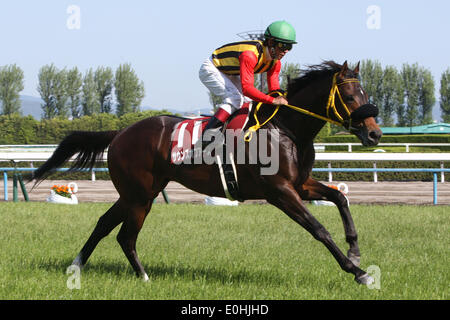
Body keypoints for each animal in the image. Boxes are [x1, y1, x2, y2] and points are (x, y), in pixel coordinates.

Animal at [31, 60, 382, 284]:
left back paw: (77, 266)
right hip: (141, 196)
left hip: (136, 193)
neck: (286, 129)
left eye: (366, 95)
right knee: (125, 236)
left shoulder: (301, 184)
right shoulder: (279, 191)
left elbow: (340, 199)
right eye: (350, 96)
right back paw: (144, 276)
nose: (375, 134)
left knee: (105, 224)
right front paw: (358, 272)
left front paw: (355, 250)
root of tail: (120, 133)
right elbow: (318, 229)